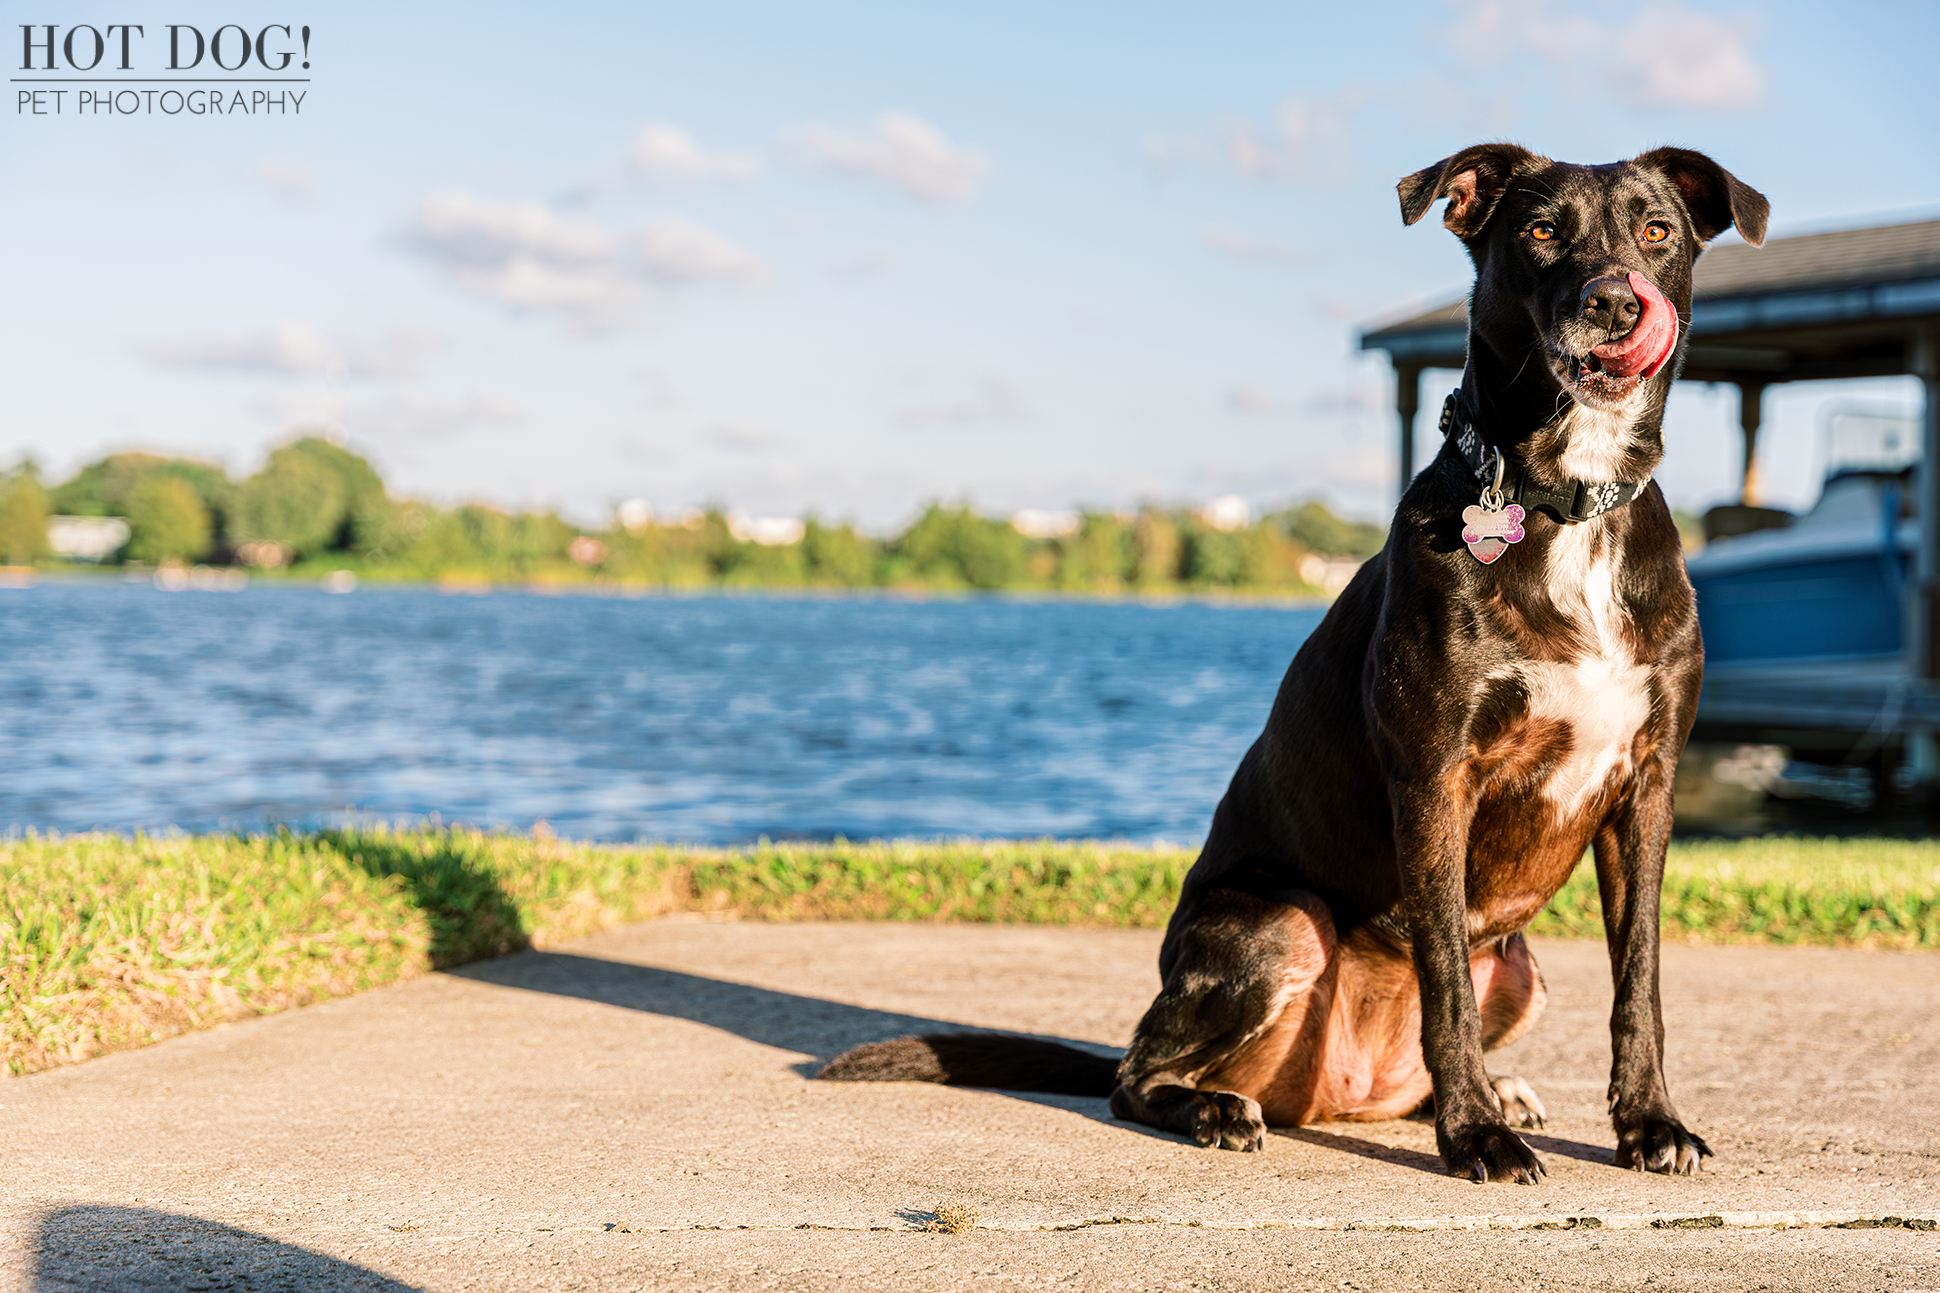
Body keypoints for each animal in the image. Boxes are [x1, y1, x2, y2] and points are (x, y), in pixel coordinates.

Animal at [826, 145, 1769, 1180]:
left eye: (1657, 231)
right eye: (1541, 231)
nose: (1616, 302)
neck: (1568, 503)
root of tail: (1332, 1093)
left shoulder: (1646, 786)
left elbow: (1639, 979)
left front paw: (1649, 1122)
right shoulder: (1435, 779)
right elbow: (1445, 977)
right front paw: (1476, 1136)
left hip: (1520, 967)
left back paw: (1479, 1092)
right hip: (1281, 924)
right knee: (1135, 1076)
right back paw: (1224, 1107)